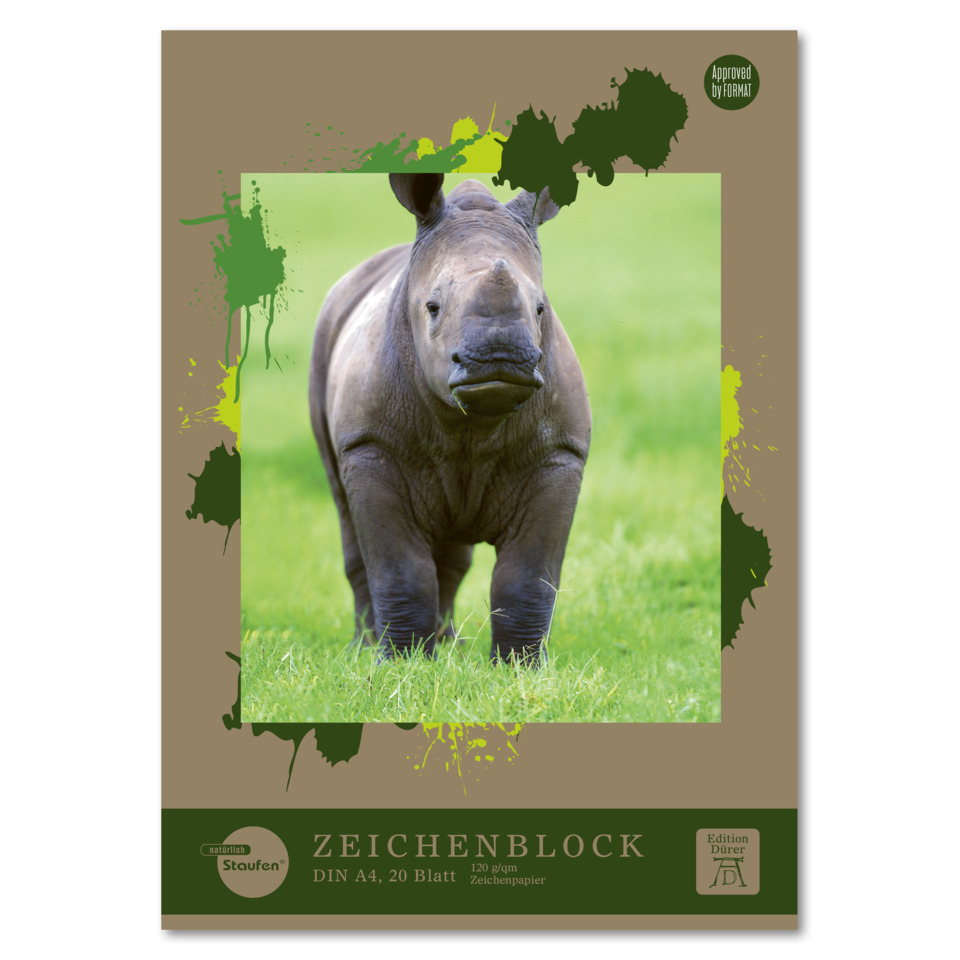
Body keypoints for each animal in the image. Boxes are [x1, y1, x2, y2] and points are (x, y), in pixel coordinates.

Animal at [308, 173, 591, 664]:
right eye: (432, 307)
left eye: (540, 308)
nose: (500, 358)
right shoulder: (370, 446)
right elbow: (400, 569)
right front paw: (401, 665)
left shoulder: (560, 452)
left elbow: (528, 576)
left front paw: (520, 669)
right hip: (325, 340)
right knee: (346, 514)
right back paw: (367, 648)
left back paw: (446, 644)